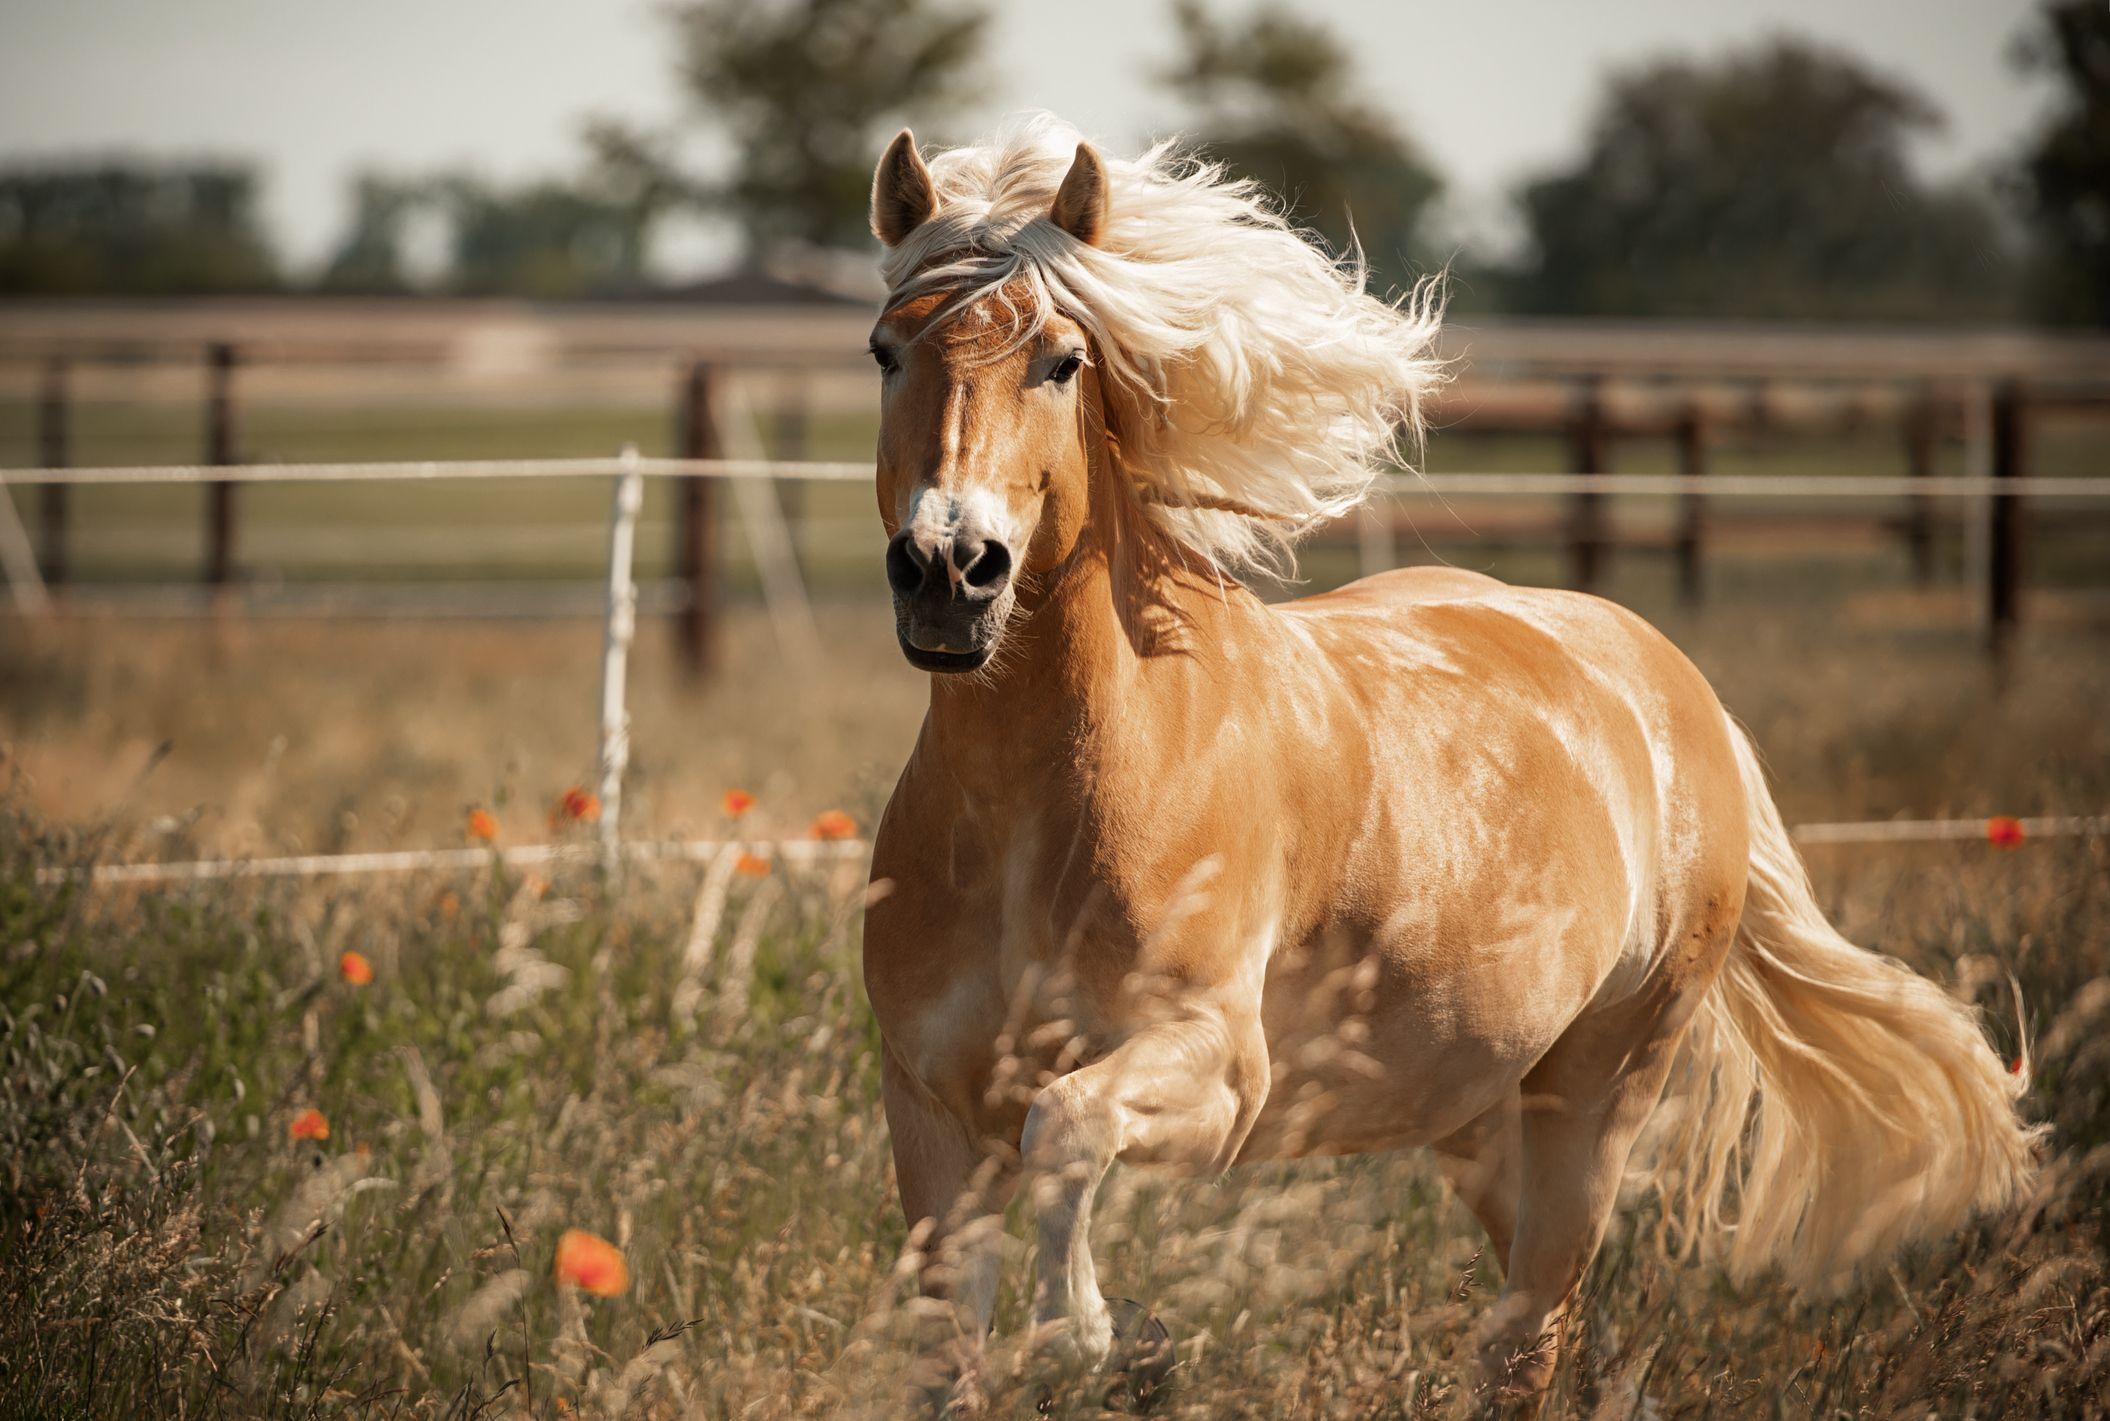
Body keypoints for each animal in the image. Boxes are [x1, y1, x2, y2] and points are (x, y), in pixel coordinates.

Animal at [856, 116, 2042, 1401]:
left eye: (1062, 360)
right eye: (884, 351)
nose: (948, 567)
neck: (1042, 814)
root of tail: (1672, 687)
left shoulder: (1220, 1067)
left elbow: (1068, 1123)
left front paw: (1085, 1329)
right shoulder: (930, 1110)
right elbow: (944, 1352)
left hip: (1601, 1087)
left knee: (1529, 1333)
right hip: (1477, 1111)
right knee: (1554, 1332)